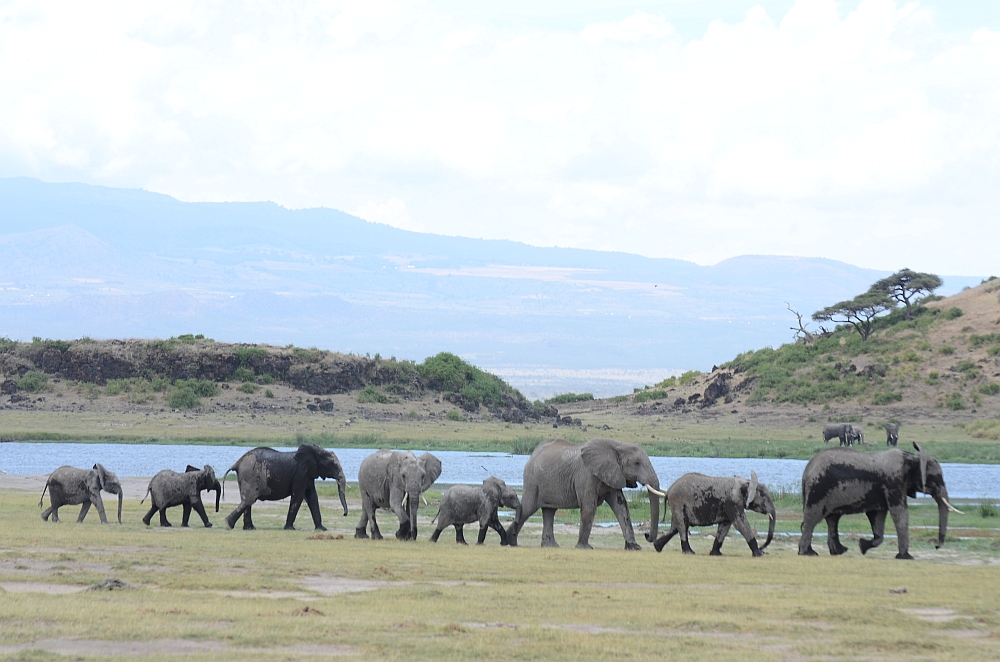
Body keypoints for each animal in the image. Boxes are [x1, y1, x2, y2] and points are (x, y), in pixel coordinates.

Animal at [508, 438, 664, 552]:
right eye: (637, 463)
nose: (646, 535)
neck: (617, 445)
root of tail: (532, 455)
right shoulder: (586, 475)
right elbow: (589, 507)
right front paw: (585, 548)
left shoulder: (613, 474)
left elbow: (621, 506)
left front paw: (634, 547)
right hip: (532, 481)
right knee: (527, 509)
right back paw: (509, 542)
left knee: (549, 511)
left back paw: (550, 546)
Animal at [796, 444, 960, 564]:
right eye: (936, 479)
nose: (936, 546)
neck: (912, 458)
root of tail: (806, 471)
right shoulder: (893, 482)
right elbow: (899, 513)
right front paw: (906, 557)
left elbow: (878, 515)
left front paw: (862, 546)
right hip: (819, 489)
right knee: (813, 518)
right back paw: (808, 554)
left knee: (832, 519)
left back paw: (838, 552)